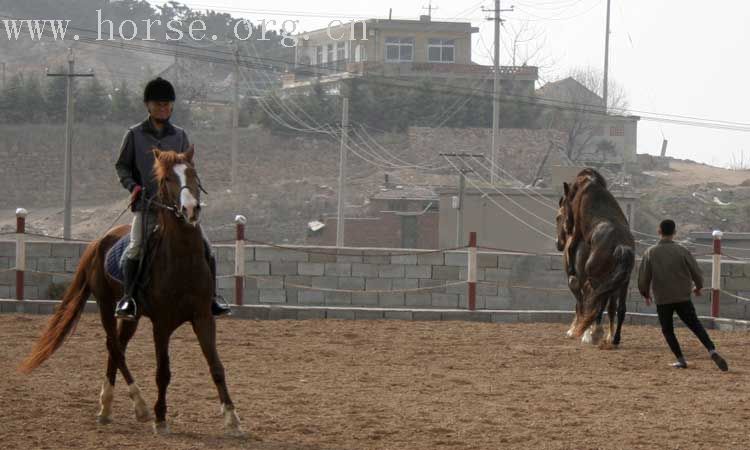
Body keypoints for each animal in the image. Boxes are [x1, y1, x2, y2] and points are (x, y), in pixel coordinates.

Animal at [19, 149, 244, 436]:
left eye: (193, 173)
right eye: (167, 178)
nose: (191, 209)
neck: (182, 259)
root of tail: (97, 242)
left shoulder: (203, 317)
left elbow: (216, 366)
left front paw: (232, 418)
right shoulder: (161, 324)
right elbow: (163, 371)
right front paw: (161, 419)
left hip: (132, 317)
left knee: (119, 346)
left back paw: (107, 408)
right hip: (106, 304)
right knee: (113, 346)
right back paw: (138, 406)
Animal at [564, 169, 636, 348]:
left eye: (565, 203)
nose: (567, 226)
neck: (590, 185)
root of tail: (620, 245)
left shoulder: (578, 231)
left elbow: (571, 247)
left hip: (598, 279)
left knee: (598, 303)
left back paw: (595, 333)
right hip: (623, 283)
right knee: (620, 308)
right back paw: (615, 339)